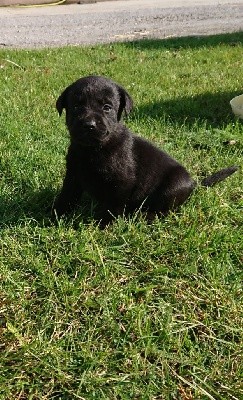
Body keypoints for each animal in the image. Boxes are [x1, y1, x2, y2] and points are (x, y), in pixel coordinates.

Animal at [53, 75, 237, 225]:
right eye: (77, 107)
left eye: (107, 107)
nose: (89, 125)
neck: (93, 149)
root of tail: (194, 184)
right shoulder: (73, 175)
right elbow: (66, 196)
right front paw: (55, 215)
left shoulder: (121, 183)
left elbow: (112, 207)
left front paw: (104, 225)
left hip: (173, 187)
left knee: (164, 211)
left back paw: (144, 216)